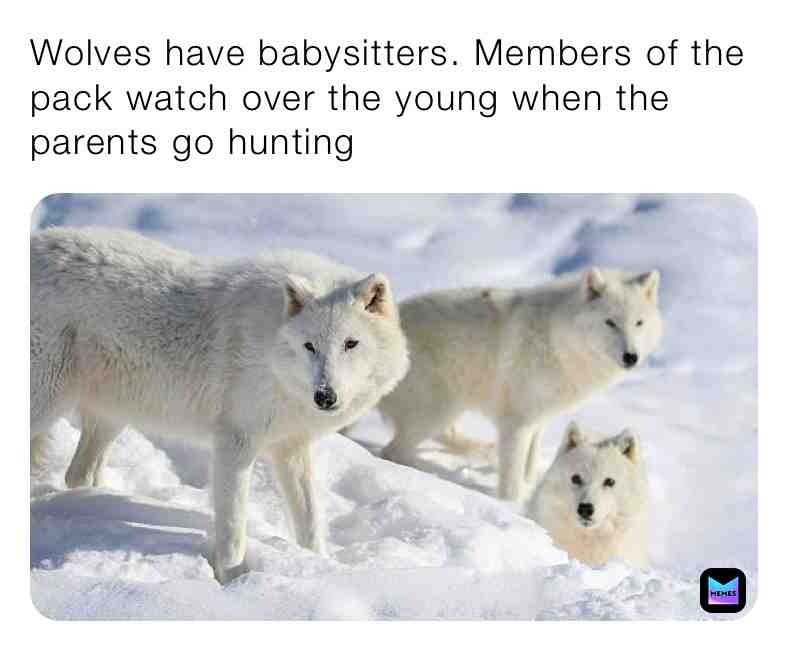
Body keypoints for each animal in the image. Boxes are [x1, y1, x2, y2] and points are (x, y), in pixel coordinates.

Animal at [30, 227, 409, 583]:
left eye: (351, 344)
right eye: (309, 346)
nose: (325, 396)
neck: (271, 352)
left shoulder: (291, 447)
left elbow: (311, 520)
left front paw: (320, 565)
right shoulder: (234, 443)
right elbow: (232, 527)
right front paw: (234, 580)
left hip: (112, 416)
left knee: (77, 474)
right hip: (48, 403)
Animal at [376, 267, 662, 503]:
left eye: (639, 323)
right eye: (610, 322)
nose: (631, 357)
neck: (559, 341)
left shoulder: (538, 420)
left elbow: (529, 464)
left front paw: (531, 487)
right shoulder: (516, 423)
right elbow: (512, 477)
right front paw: (512, 506)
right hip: (436, 411)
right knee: (392, 452)